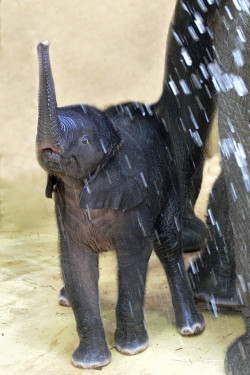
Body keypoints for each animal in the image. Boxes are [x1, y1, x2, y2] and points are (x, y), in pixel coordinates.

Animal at [35, 41, 203, 370]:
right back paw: (65, 298)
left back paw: (191, 328)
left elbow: (134, 256)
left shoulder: (135, 198)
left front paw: (132, 349)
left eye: (85, 141)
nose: (43, 43)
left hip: (170, 178)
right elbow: (76, 262)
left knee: (167, 241)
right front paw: (89, 364)